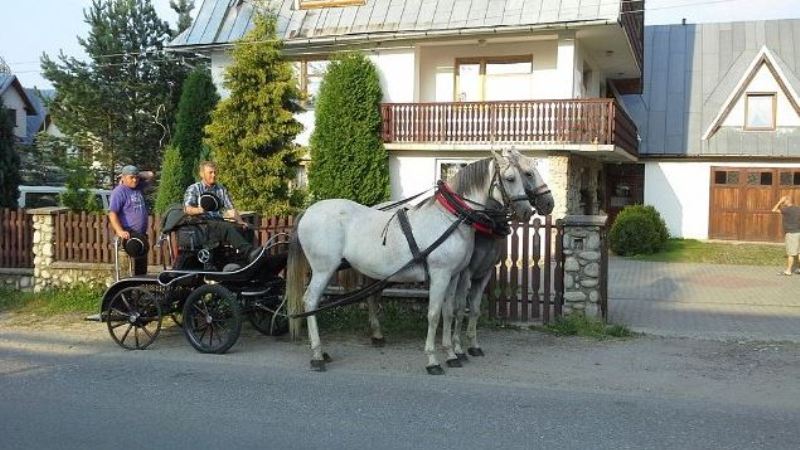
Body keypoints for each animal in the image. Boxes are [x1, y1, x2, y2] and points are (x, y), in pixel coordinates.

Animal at [284, 149, 536, 374]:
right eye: (510, 178)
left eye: (525, 176)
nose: (528, 212)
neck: (449, 218)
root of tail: (308, 212)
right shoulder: (440, 275)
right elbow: (433, 315)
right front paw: (433, 360)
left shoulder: (454, 276)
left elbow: (448, 313)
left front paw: (452, 355)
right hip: (323, 269)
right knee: (310, 301)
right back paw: (317, 355)